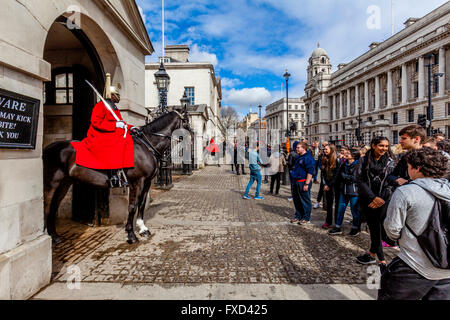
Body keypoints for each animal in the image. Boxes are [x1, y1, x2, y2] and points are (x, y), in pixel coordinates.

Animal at [42, 109, 190, 244]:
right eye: (186, 121)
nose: (191, 142)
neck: (147, 146)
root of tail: (47, 148)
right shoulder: (137, 182)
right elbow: (132, 206)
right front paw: (131, 234)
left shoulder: (147, 182)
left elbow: (141, 204)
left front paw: (143, 229)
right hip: (51, 184)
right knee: (47, 206)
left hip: (64, 183)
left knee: (54, 207)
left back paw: (55, 236)